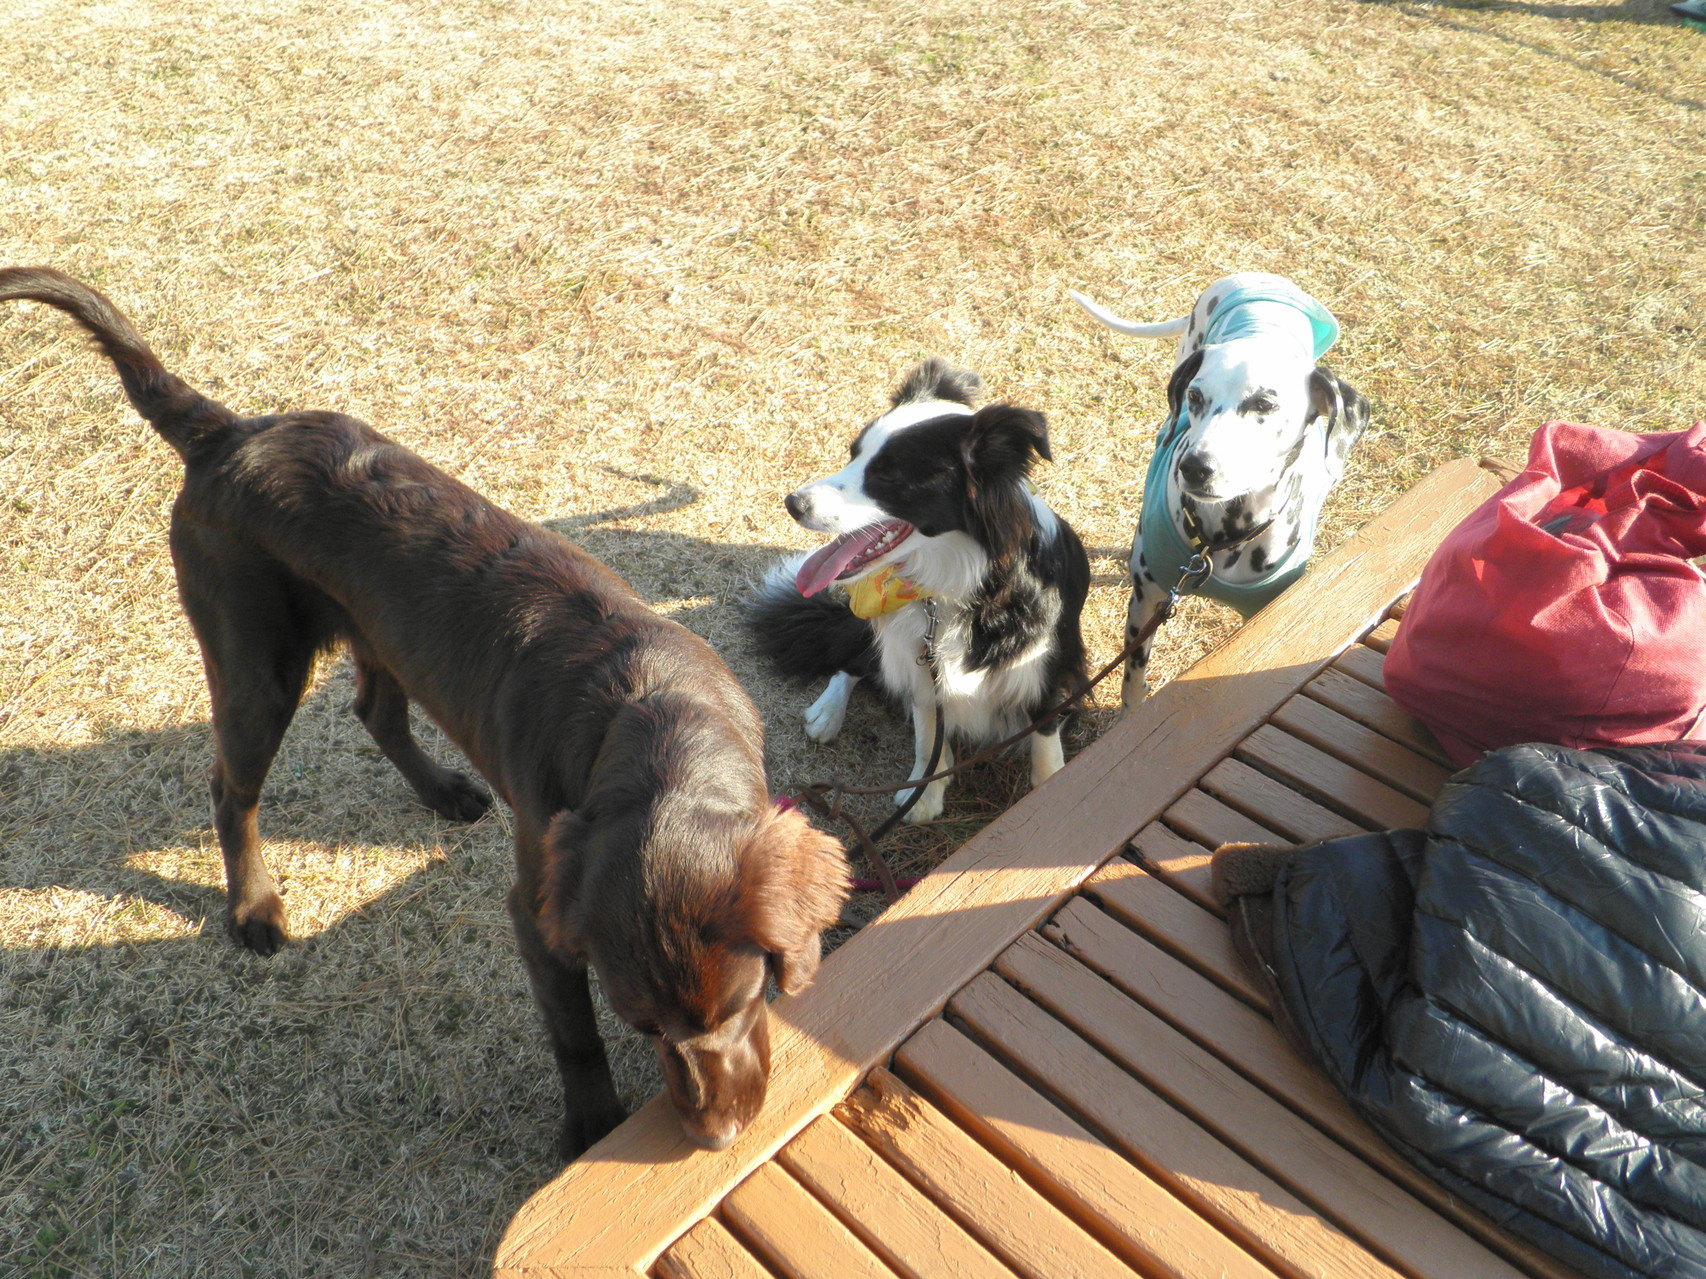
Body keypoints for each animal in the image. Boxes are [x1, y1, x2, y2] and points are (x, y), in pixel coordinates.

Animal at [0, 271, 853, 1159]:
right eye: (642, 1024)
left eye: (739, 1004)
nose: (716, 1138)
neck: (656, 718)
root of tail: (226, 434)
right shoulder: (540, 914)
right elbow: (573, 1033)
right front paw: (591, 1125)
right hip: (254, 656)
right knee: (232, 788)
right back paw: (254, 907)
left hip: (376, 631)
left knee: (375, 711)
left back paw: (445, 791)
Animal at [1078, 272, 1371, 712]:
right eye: (1195, 396)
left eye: (1265, 404)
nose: (1194, 468)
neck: (1220, 541)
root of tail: (1254, 276)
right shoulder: (1147, 599)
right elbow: (1132, 681)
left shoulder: (1262, 615)